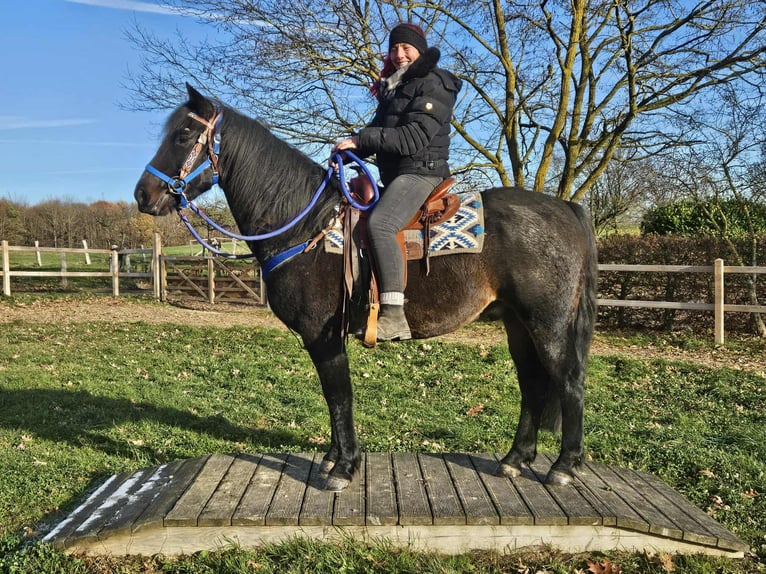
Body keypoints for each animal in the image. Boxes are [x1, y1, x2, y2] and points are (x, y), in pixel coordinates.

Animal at [134, 84, 598, 491]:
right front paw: (332, 459)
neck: (308, 224)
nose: (144, 194)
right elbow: (333, 398)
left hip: (548, 324)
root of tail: (567, 208)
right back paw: (515, 459)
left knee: (569, 381)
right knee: (533, 384)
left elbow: (339, 397)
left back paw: (564, 467)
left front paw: (344, 467)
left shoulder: (322, 336)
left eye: (183, 135)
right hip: (518, 324)